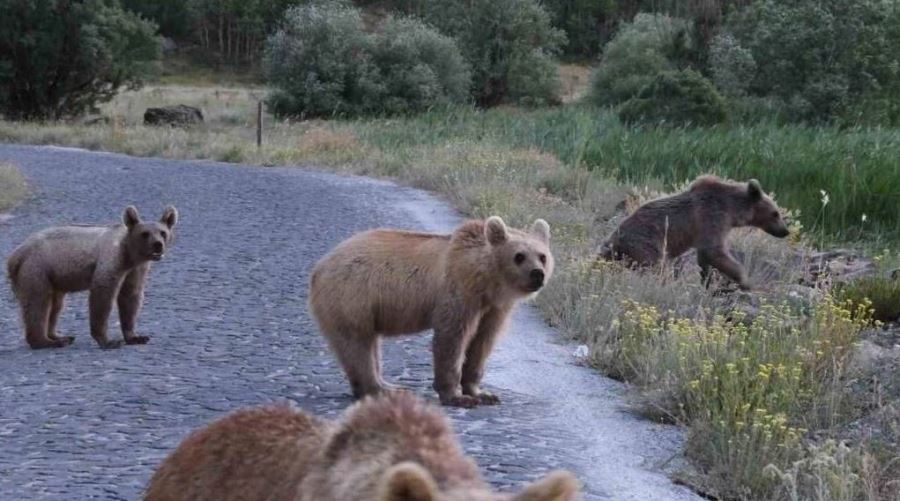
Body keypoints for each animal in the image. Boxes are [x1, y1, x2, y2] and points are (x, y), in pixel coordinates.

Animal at [7, 203, 178, 348]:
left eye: (163, 232)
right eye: (145, 234)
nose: (158, 245)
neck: (129, 254)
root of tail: (16, 254)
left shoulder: (135, 269)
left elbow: (130, 297)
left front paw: (136, 337)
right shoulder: (111, 260)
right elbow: (103, 295)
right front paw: (109, 341)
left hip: (53, 277)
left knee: (56, 306)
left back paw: (60, 336)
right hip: (37, 268)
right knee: (38, 303)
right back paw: (46, 341)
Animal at [310, 215, 552, 406]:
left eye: (542, 256)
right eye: (519, 256)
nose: (537, 274)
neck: (485, 280)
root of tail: (319, 267)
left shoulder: (494, 308)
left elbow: (483, 342)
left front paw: (483, 393)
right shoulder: (458, 294)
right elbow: (452, 338)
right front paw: (457, 396)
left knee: (368, 344)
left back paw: (386, 385)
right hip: (351, 296)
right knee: (357, 344)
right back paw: (380, 389)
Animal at [604, 175, 788, 290]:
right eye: (775, 213)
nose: (785, 231)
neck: (732, 211)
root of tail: (615, 238)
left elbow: (706, 257)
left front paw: (706, 280)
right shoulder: (712, 217)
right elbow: (714, 251)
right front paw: (744, 281)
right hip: (646, 243)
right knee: (657, 266)